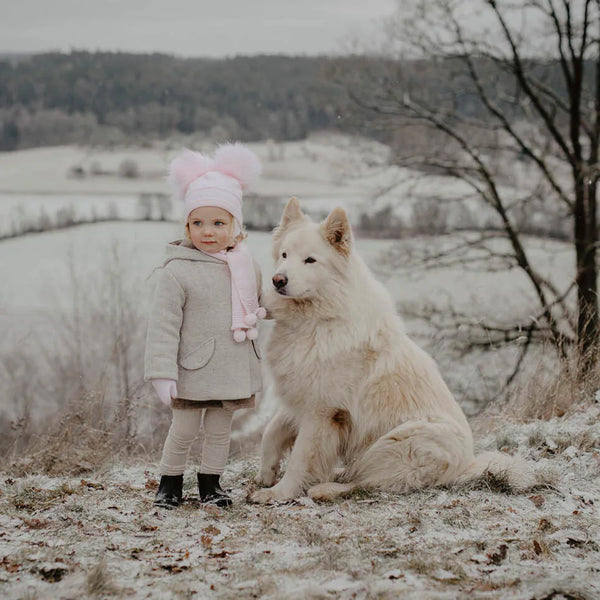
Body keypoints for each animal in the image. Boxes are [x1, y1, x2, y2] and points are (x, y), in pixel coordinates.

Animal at [251, 199, 532, 504]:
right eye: (284, 255)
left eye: (310, 260)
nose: (278, 280)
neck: (318, 317)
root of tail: (467, 465)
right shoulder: (300, 397)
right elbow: (271, 432)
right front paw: (267, 472)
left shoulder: (321, 412)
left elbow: (301, 459)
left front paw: (279, 493)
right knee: (361, 475)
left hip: (400, 440)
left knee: (367, 482)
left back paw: (326, 489)